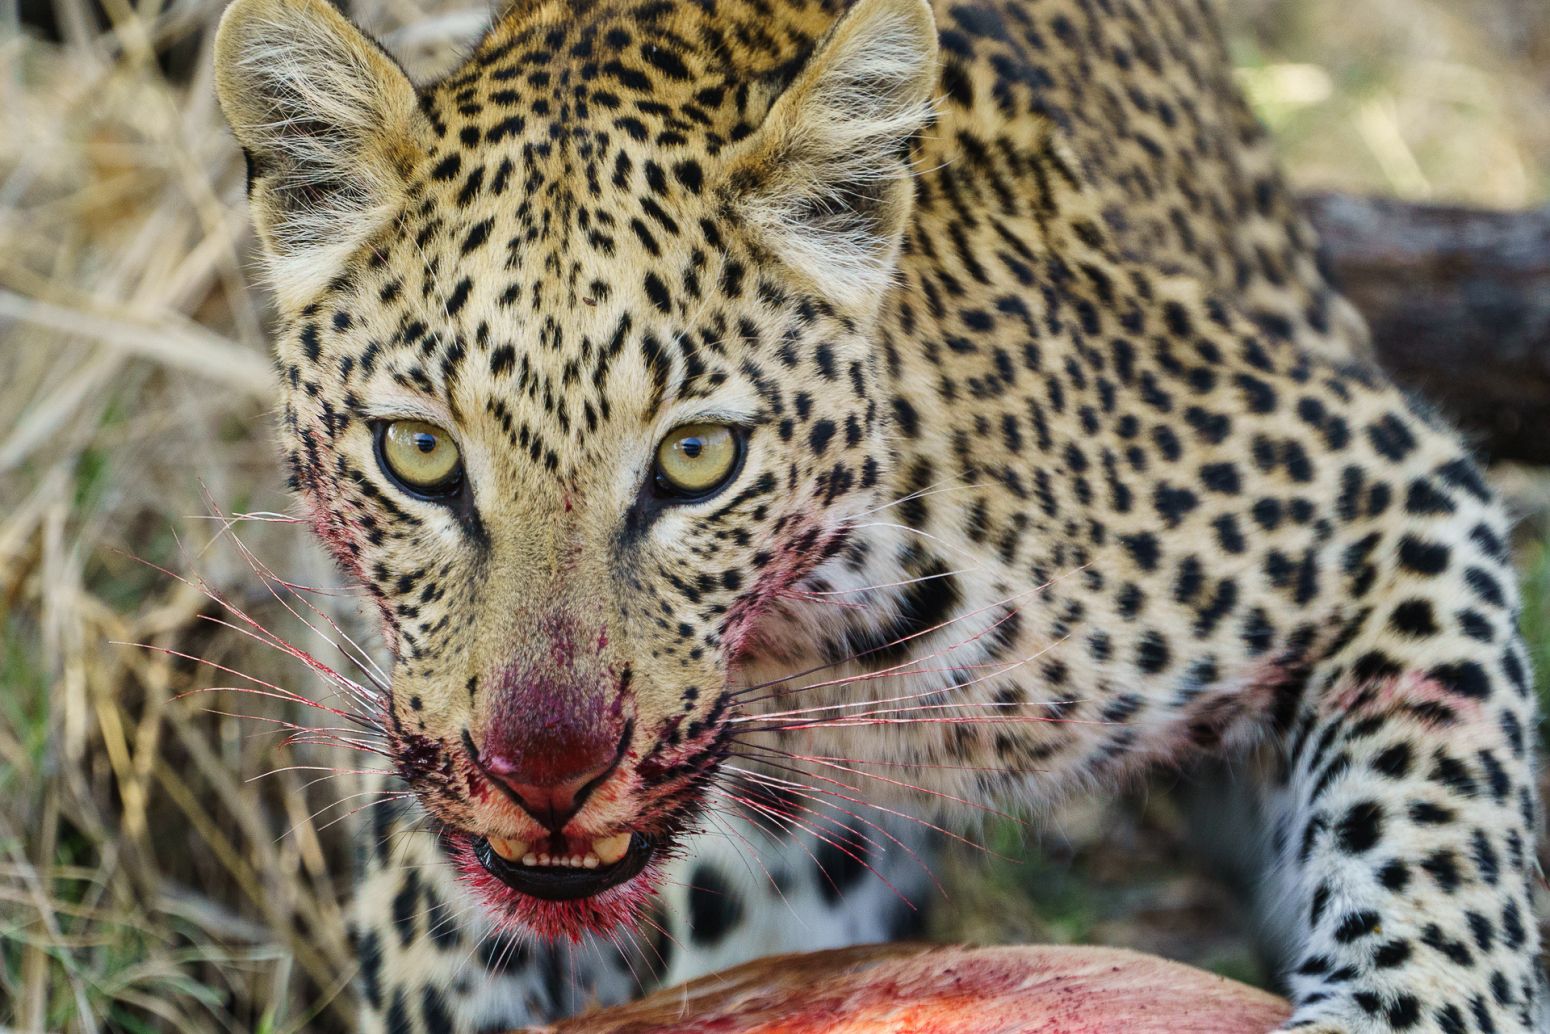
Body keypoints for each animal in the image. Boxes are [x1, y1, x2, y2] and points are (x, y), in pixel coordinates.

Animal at [212, 0, 1543, 1029]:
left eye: (696, 457)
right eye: (418, 453)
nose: (546, 775)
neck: (806, 639)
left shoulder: (1381, 494)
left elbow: (1439, 845)